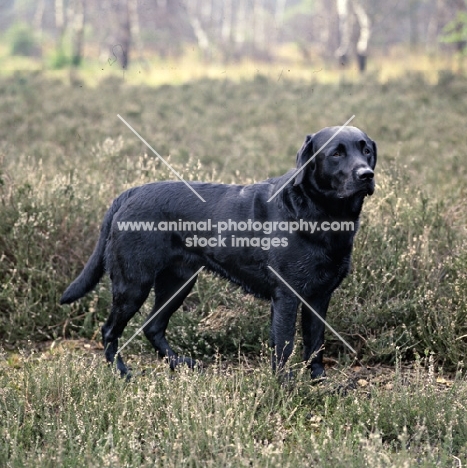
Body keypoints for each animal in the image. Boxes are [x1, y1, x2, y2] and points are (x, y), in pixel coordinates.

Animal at [62, 126, 376, 378]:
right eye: (336, 153)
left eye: (366, 150)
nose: (367, 174)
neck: (321, 214)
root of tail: (130, 192)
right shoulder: (286, 295)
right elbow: (284, 346)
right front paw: (284, 387)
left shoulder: (319, 296)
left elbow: (315, 343)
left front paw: (318, 380)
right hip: (133, 284)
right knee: (110, 330)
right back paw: (121, 372)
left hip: (178, 283)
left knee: (152, 326)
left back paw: (180, 364)